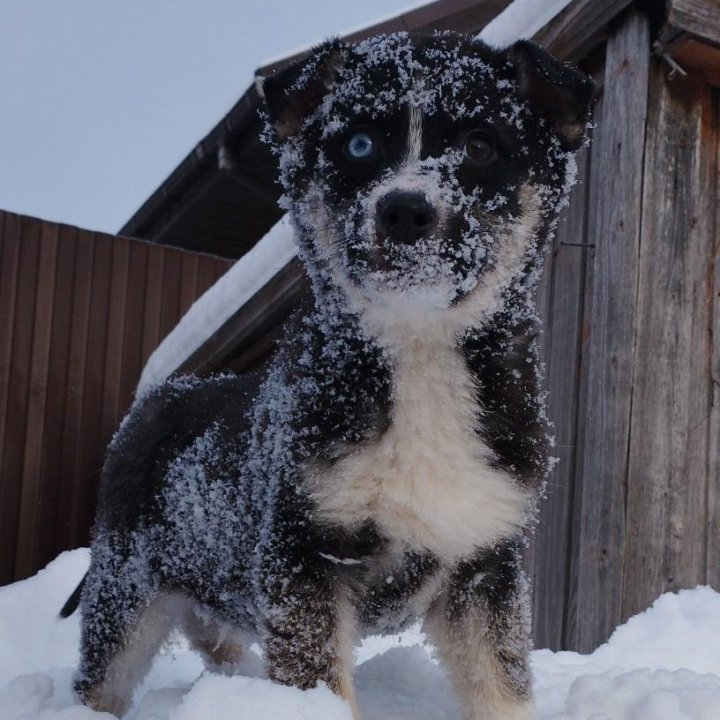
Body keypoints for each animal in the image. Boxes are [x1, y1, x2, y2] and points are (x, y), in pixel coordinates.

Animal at [62, 32, 592, 720]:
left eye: (480, 145)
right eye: (359, 143)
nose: (405, 212)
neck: (417, 353)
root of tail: (158, 399)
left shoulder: (485, 555)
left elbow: (499, 681)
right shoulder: (303, 548)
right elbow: (317, 677)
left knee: (214, 634)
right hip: (128, 577)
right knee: (104, 672)